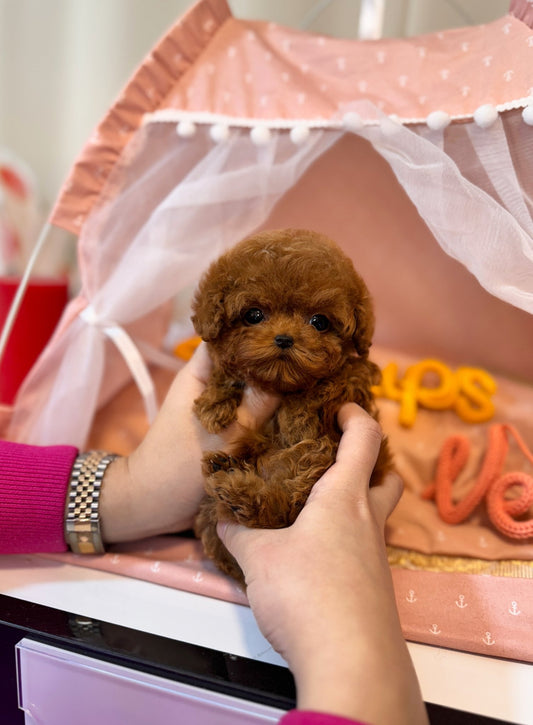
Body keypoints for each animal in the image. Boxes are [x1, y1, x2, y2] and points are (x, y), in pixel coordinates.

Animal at [190, 228, 390, 584]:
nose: (284, 339)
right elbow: (225, 372)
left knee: (282, 508)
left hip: (318, 457)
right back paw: (227, 472)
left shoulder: (357, 378)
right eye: (254, 315)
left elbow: (330, 382)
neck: (279, 382)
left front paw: (297, 416)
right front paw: (214, 404)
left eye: (319, 322)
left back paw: (236, 488)